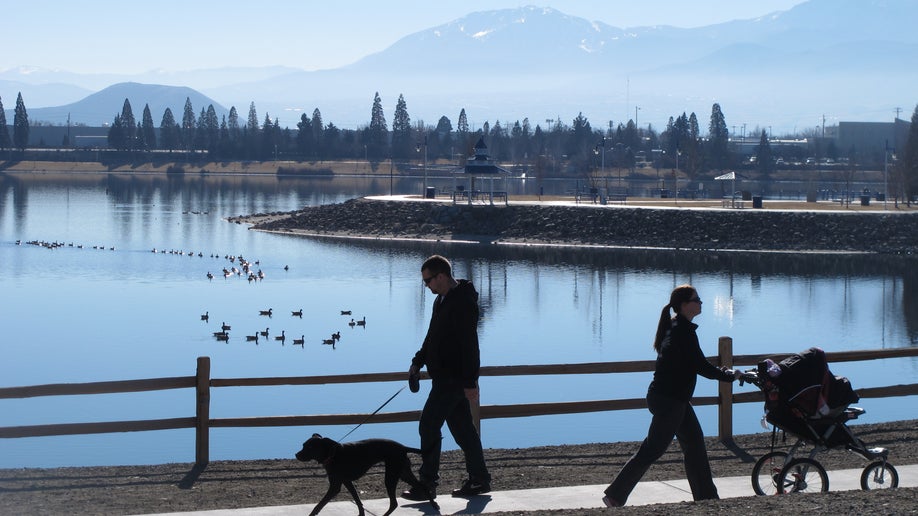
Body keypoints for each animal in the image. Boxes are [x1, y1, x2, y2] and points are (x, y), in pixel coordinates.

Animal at [294, 434, 438, 512]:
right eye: (303, 445)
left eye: (310, 447)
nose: (296, 455)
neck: (332, 454)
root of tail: (403, 447)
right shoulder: (347, 482)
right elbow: (358, 501)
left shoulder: (335, 486)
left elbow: (319, 505)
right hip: (404, 473)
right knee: (423, 486)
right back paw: (434, 505)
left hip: (391, 476)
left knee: (394, 503)